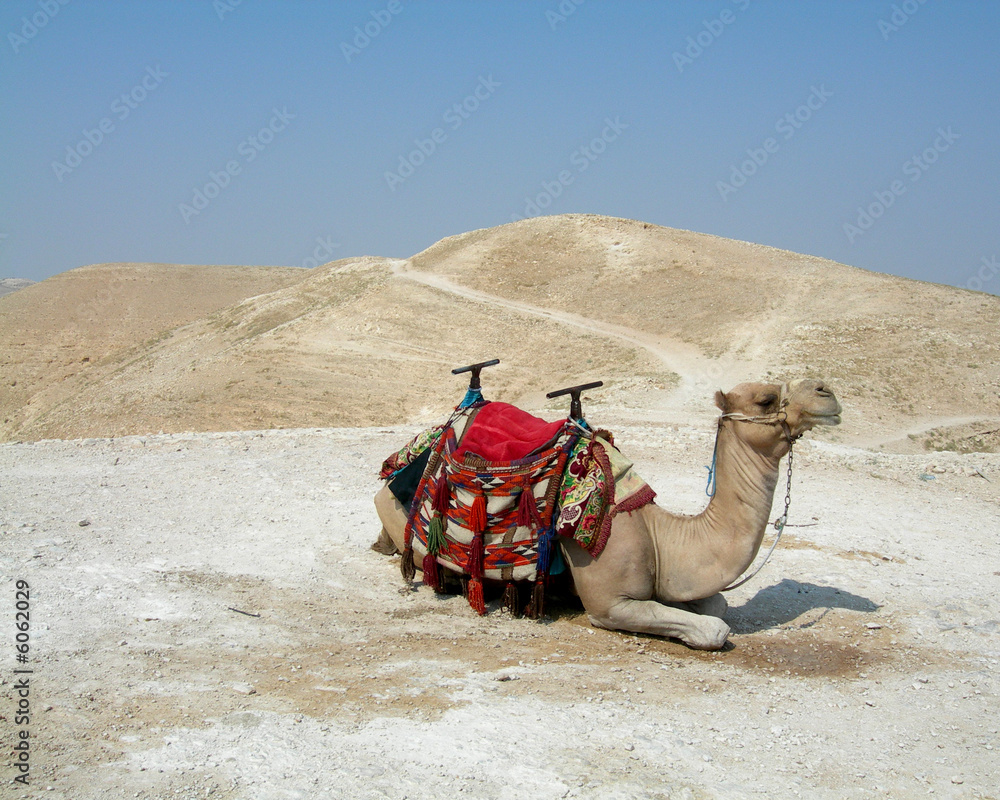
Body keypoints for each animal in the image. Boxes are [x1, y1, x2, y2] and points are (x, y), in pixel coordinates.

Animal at [373, 378, 841, 650]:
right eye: (765, 399)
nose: (826, 393)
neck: (659, 534)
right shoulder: (610, 604)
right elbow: (713, 629)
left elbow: (719, 603)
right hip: (401, 518)